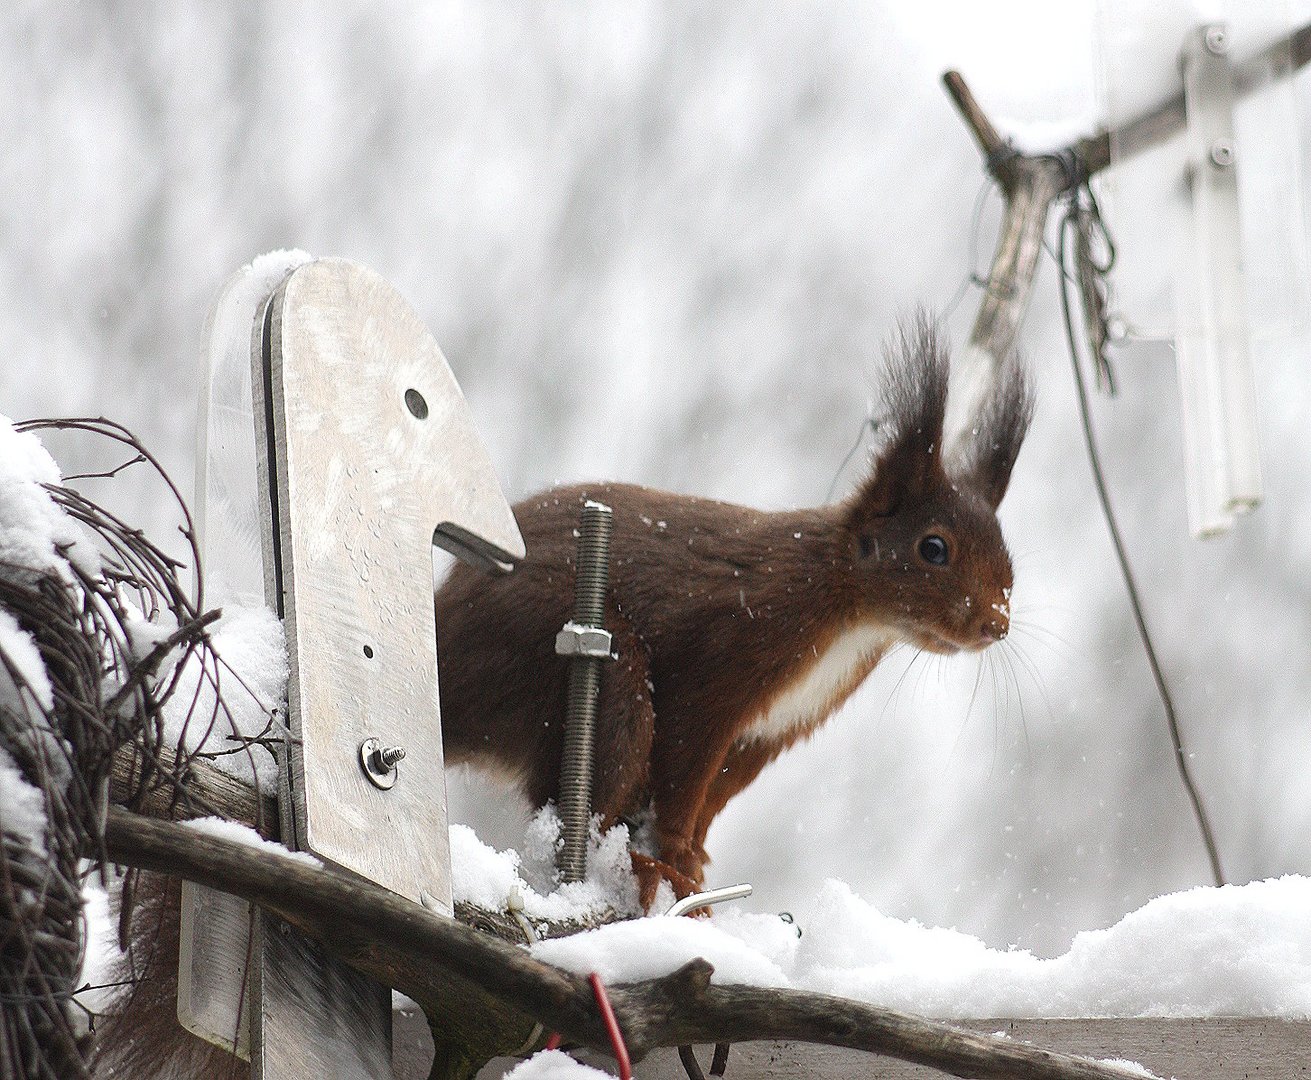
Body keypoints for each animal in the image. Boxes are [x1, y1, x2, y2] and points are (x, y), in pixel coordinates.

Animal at [440, 318, 1033, 901]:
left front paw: (696, 859)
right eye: (933, 549)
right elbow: (684, 764)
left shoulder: (774, 725)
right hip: (566, 656)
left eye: (1005, 549)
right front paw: (676, 851)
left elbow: (717, 792)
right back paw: (634, 865)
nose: (996, 624)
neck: (849, 615)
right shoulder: (725, 657)